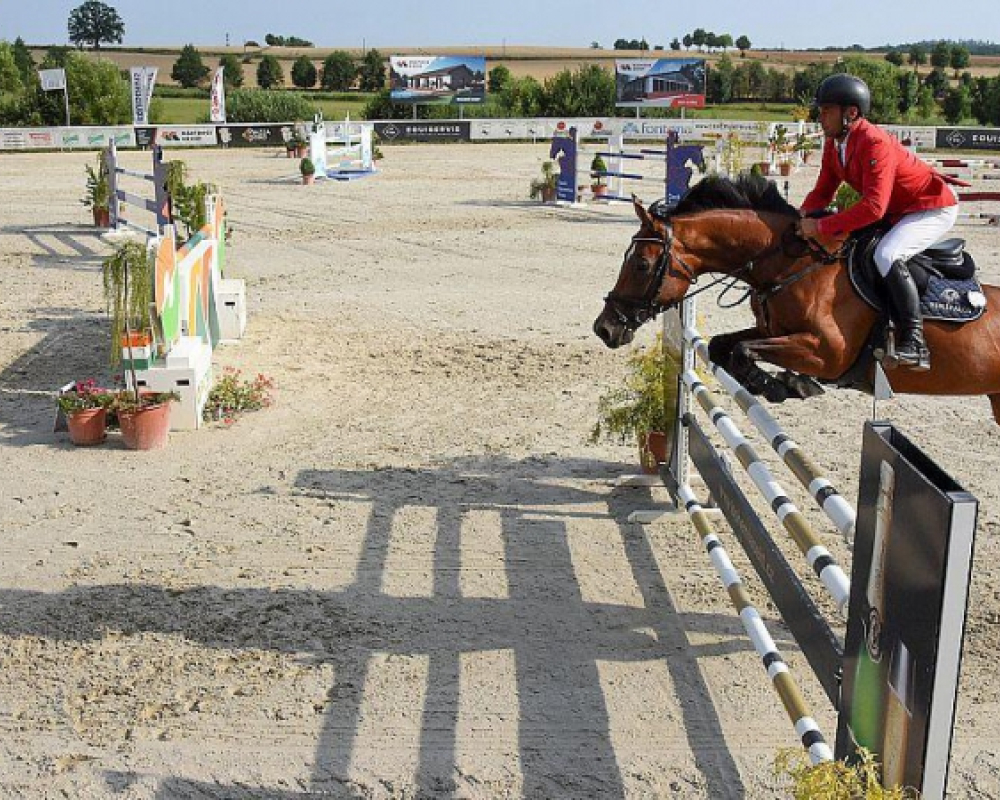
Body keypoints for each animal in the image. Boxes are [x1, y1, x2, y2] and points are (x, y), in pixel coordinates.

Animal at [588, 175, 1000, 424]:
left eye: (641, 264)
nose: (604, 328)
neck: (792, 264)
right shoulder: (774, 330)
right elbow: (725, 346)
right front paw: (781, 384)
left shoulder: (828, 353)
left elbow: (744, 351)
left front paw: (784, 385)